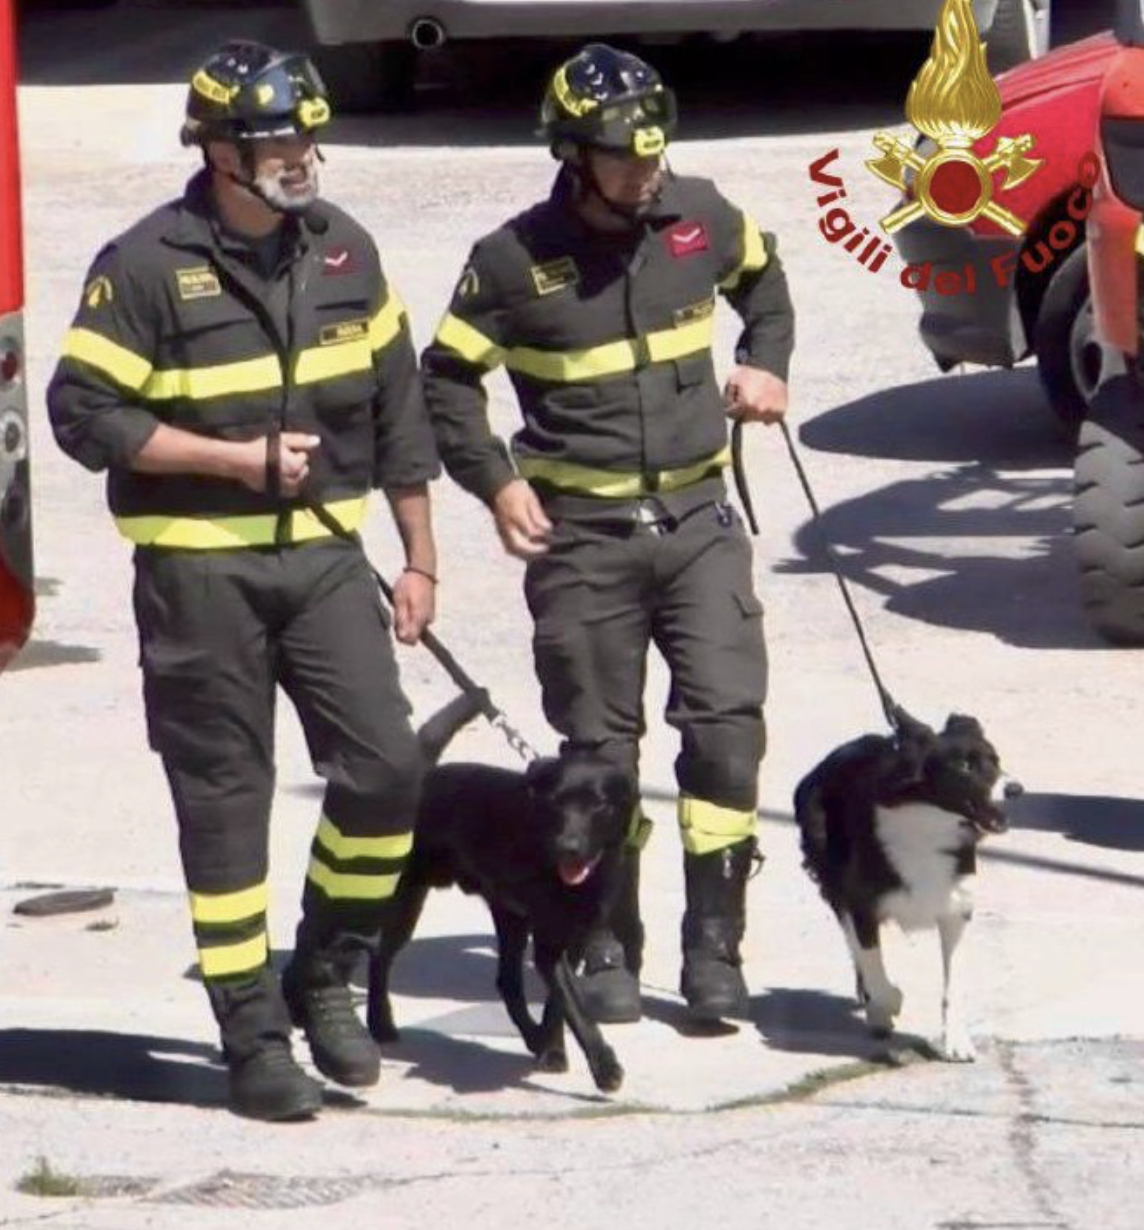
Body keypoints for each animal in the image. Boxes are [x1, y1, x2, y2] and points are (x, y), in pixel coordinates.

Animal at [368, 694, 636, 1093]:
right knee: (380, 957)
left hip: (509, 917)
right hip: (406, 901)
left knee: (507, 982)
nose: (568, 848)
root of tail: (425, 775)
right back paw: (380, 1024)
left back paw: (535, 1040)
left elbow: (559, 1003)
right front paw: (604, 1067)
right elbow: (577, 1008)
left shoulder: (571, 938)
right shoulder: (549, 943)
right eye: (556, 803)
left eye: (599, 805)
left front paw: (553, 1050)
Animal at [794, 708, 1020, 1061]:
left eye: (996, 760)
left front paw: (957, 1041)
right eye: (964, 766)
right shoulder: (861, 905)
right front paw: (887, 1004)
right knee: (854, 948)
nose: (1016, 789)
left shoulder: (956, 908)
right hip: (833, 880)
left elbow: (954, 983)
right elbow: (875, 971)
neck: (929, 824)